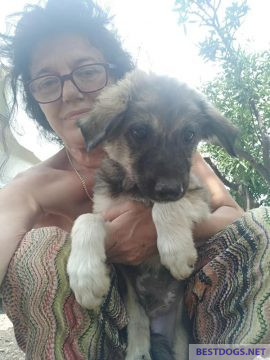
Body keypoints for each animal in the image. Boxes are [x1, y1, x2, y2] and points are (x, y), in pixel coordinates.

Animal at [66, 70, 237, 360]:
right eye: (139, 131)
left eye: (189, 135)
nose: (169, 187)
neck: (136, 190)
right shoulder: (108, 210)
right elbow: (86, 219)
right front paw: (85, 275)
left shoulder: (197, 194)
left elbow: (164, 207)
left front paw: (176, 250)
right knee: (138, 320)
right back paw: (138, 350)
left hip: (181, 337)